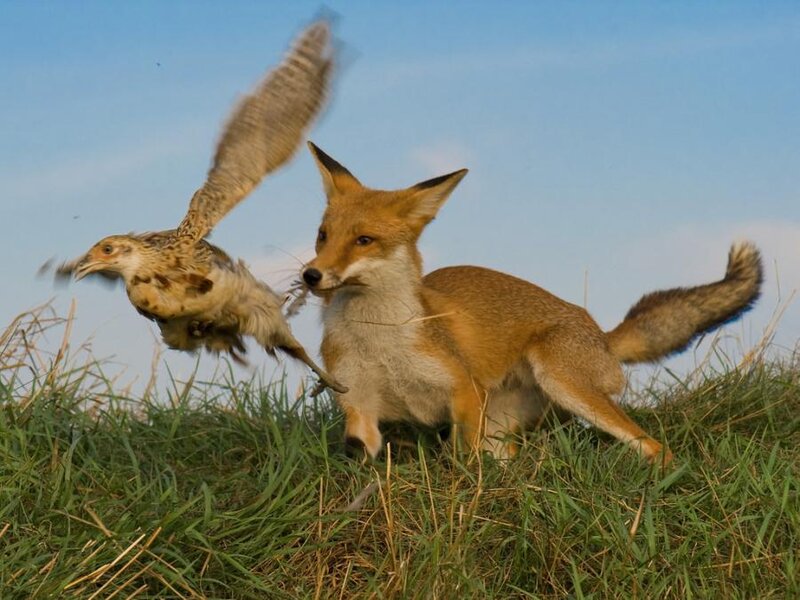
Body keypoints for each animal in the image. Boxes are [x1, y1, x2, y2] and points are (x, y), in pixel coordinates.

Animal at [300, 142, 763, 465]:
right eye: (323, 235)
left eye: (364, 240)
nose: (310, 275)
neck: (380, 343)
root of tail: (603, 335)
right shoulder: (360, 408)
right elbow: (362, 457)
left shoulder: (464, 390)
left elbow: (462, 463)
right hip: (504, 428)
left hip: (563, 381)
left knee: (654, 446)